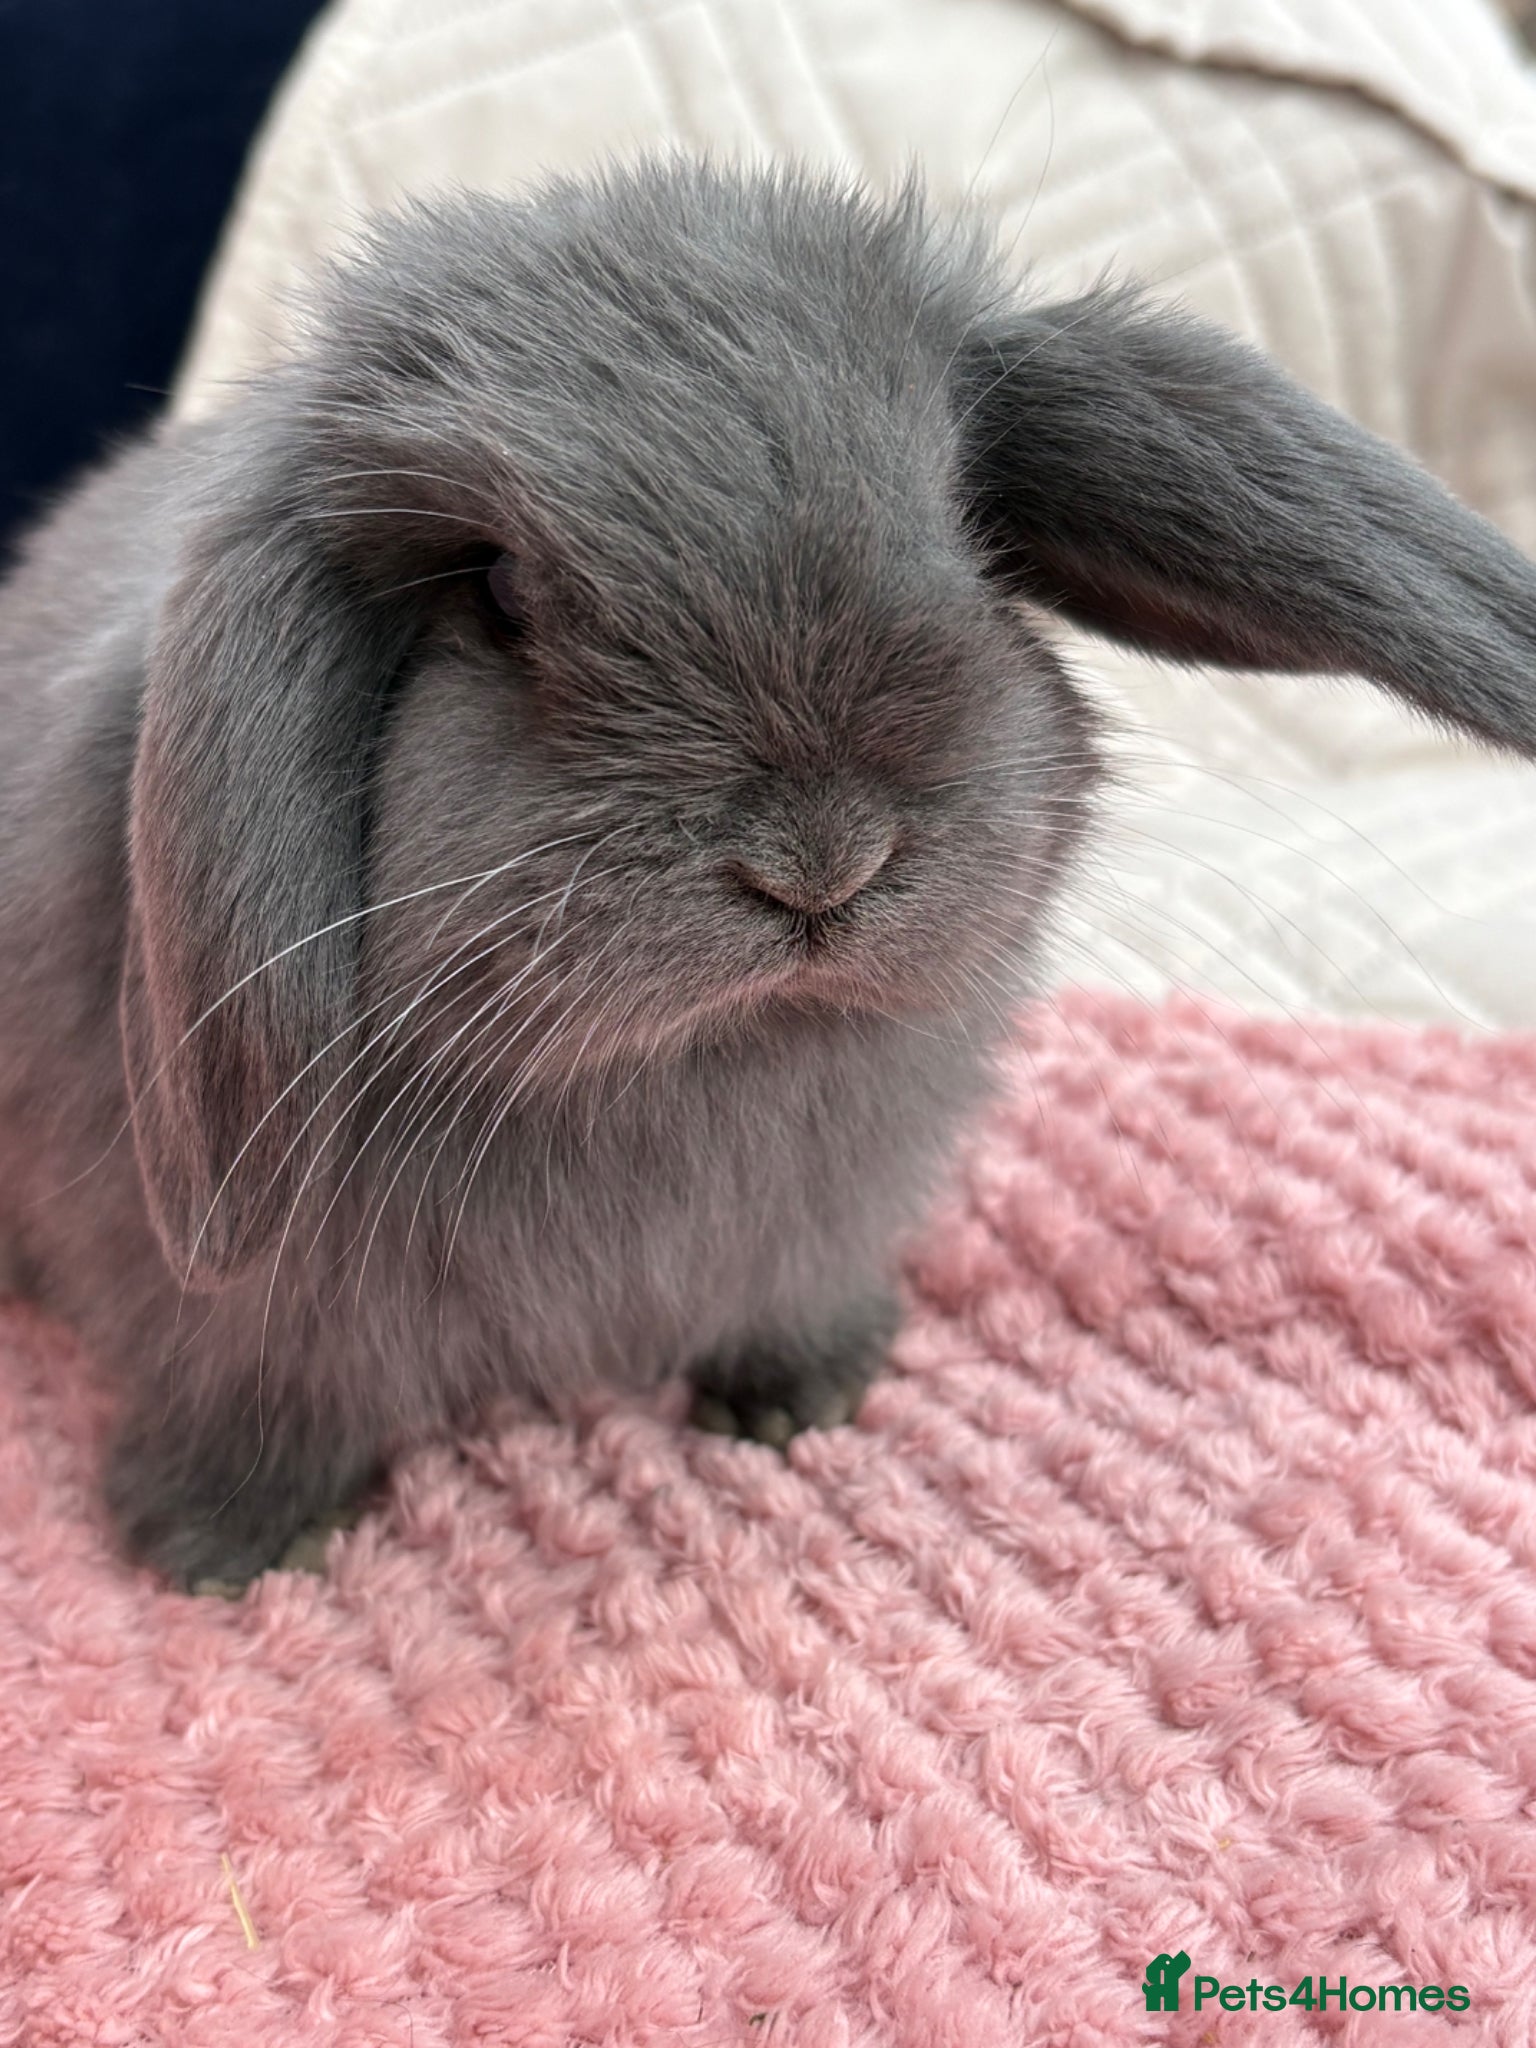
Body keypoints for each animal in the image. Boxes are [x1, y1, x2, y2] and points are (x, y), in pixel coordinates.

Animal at [2, 158, 1535, 1590]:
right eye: (494, 594)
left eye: (970, 527)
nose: (821, 861)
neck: (697, 1067)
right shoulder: (231, 1322)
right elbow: (255, 1399)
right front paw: (219, 1550)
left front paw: (806, 1399)